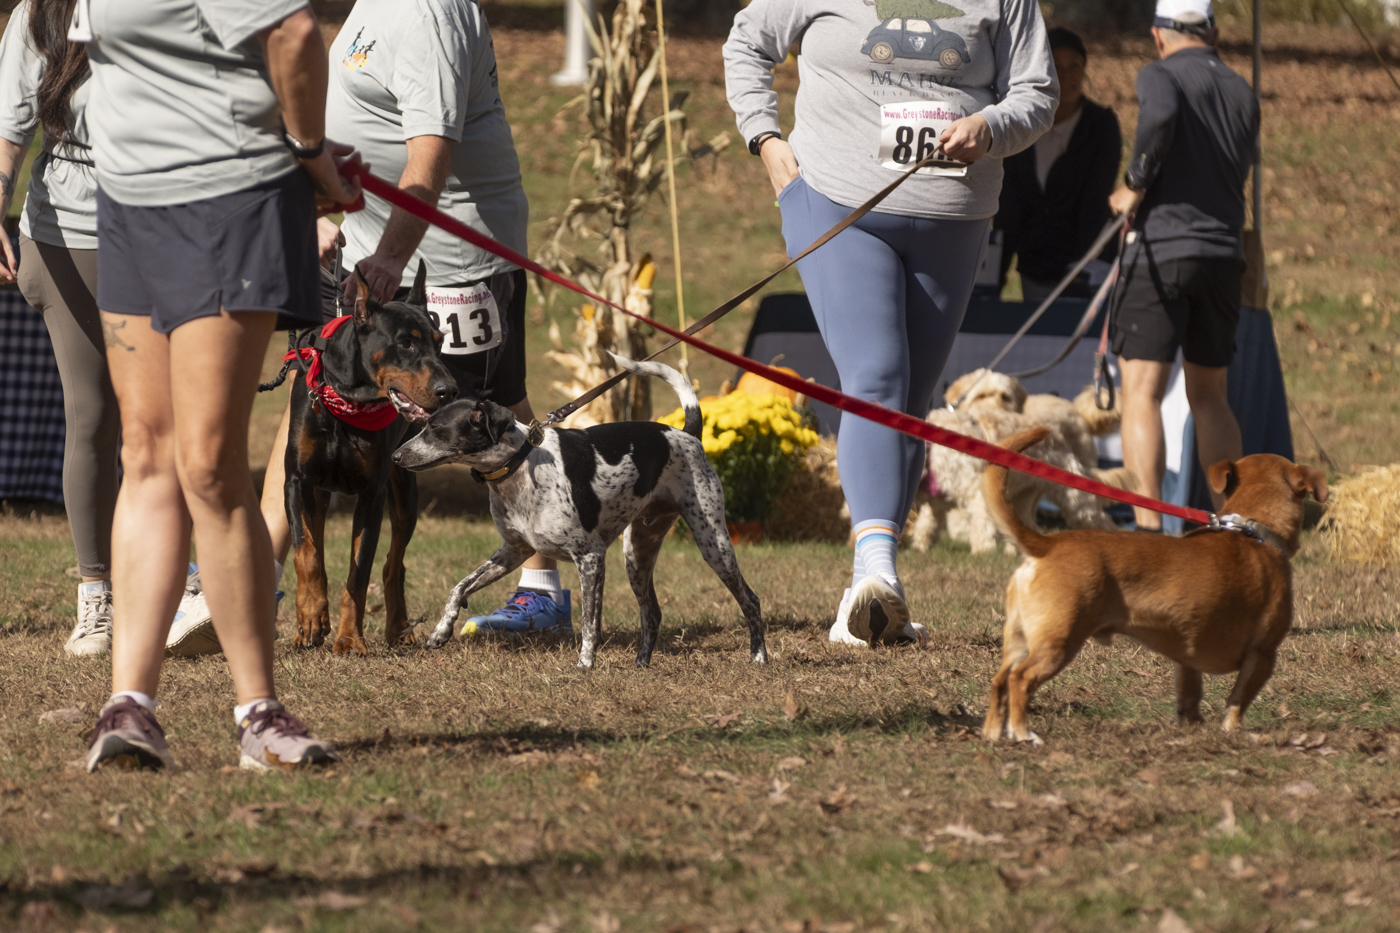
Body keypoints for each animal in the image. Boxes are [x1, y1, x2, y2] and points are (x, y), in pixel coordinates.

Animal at [285, 263, 457, 655]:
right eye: (405, 342)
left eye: (440, 341)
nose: (449, 390)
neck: (347, 403)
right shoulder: (297, 480)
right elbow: (307, 552)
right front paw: (311, 617)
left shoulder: (371, 493)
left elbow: (360, 572)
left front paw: (350, 639)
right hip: (319, 491)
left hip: (404, 489)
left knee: (395, 564)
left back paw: (398, 629)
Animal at [393, 354, 766, 670]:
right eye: (424, 425)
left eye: (436, 429)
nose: (395, 456)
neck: (520, 465)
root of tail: (687, 434)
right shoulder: (513, 551)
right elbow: (459, 588)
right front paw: (441, 631)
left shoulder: (590, 557)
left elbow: (589, 623)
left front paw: (585, 664)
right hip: (638, 553)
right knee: (653, 613)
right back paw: (641, 665)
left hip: (713, 544)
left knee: (750, 600)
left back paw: (759, 656)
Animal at [980, 427, 1328, 743]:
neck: (1254, 529)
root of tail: (1048, 544)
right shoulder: (1263, 654)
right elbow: (1237, 701)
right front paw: (1232, 731)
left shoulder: (1187, 659)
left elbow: (1190, 696)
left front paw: (1193, 728)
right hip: (1058, 641)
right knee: (1020, 680)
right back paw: (1022, 733)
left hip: (1019, 639)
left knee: (999, 680)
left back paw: (993, 733)